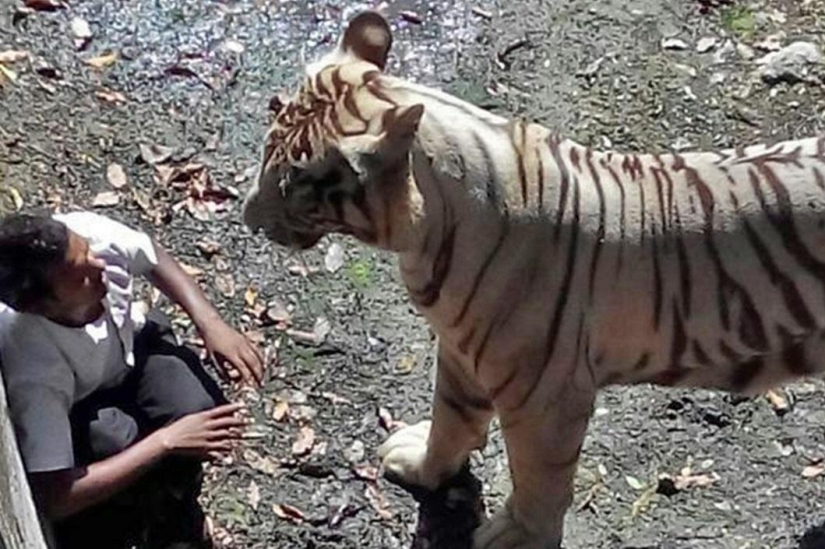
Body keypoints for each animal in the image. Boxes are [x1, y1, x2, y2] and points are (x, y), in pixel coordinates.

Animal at [242, 10, 825, 549]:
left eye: (294, 183)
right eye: (267, 149)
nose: (247, 218)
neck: (425, 236)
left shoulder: (544, 393)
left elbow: (538, 474)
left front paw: (519, 535)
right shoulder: (460, 351)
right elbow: (451, 419)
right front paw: (423, 466)